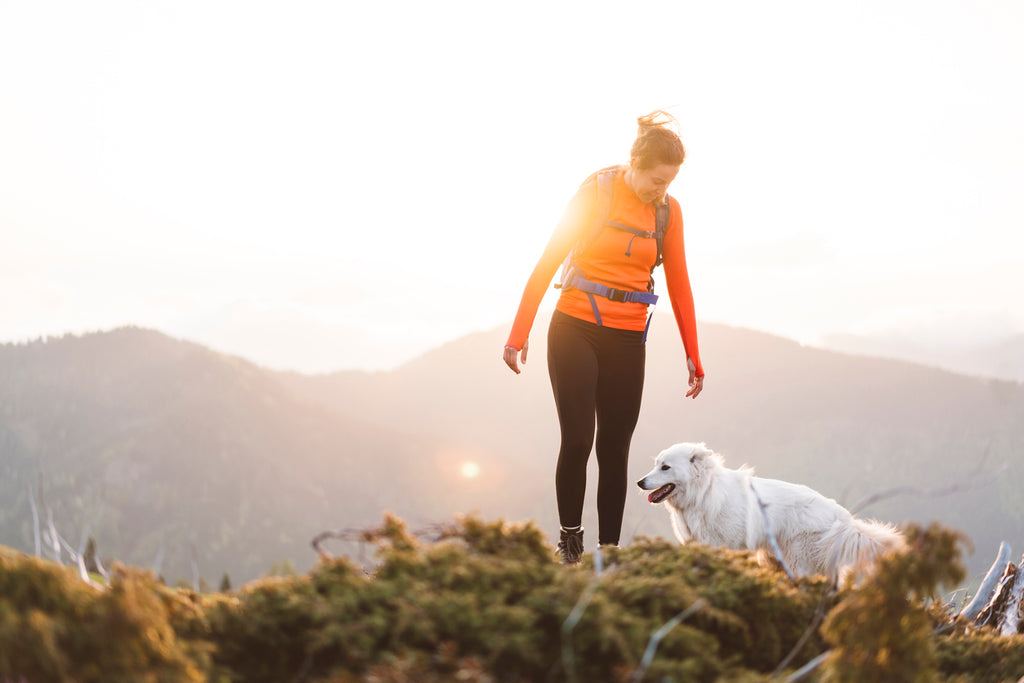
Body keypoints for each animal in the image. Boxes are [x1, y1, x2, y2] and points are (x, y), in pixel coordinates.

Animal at [638, 444, 905, 581]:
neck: (702, 493)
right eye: (656, 464)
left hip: (800, 563)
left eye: (665, 467)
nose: (640, 482)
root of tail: (843, 517)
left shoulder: (722, 546)